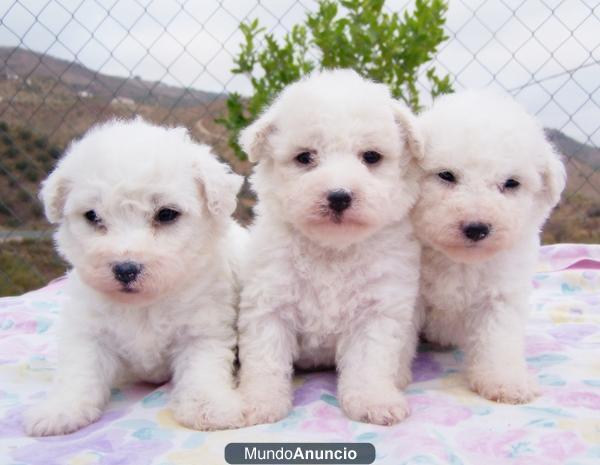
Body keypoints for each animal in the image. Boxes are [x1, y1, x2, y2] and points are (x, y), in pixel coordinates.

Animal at [23, 117, 244, 436]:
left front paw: (211, 407)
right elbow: (79, 369)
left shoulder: (204, 331)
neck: (144, 305)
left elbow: (203, 370)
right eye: (92, 216)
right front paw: (60, 409)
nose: (125, 269)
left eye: (166, 214)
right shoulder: (88, 330)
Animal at [237, 69, 424, 424]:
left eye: (371, 157)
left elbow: (368, 363)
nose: (339, 196)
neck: (332, 251)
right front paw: (260, 402)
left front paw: (374, 400)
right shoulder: (269, 304)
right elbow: (266, 360)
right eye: (305, 158)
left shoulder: (377, 311)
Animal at [414, 90, 564, 402]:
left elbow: (498, 341)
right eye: (446, 175)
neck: (461, 262)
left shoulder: (500, 297)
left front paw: (506, 382)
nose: (476, 228)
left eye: (511, 183)